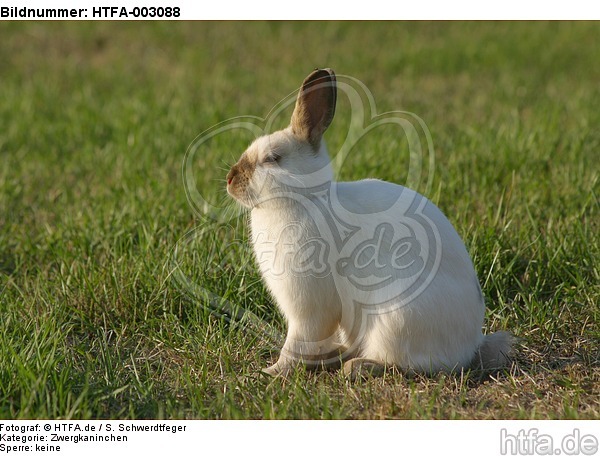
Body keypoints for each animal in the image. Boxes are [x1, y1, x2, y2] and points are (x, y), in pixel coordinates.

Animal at [225, 68, 510, 378]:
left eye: (272, 158)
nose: (230, 179)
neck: (306, 199)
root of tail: (468, 347)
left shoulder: (309, 308)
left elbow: (298, 341)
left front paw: (271, 372)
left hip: (395, 321)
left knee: (404, 365)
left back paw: (355, 367)